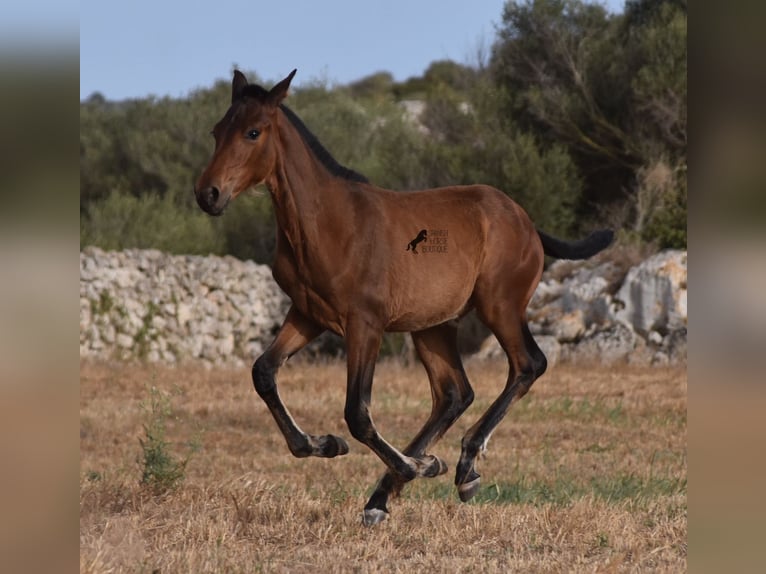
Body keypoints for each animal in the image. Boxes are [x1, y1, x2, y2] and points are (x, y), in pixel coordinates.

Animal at [195, 70, 616, 528]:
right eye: (216, 131)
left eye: (253, 132)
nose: (208, 194)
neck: (328, 222)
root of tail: (528, 223)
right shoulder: (308, 315)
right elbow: (264, 372)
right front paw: (327, 445)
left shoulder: (365, 324)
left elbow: (357, 413)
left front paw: (415, 465)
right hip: (433, 326)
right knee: (454, 394)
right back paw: (387, 494)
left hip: (500, 307)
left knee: (527, 365)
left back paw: (462, 467)